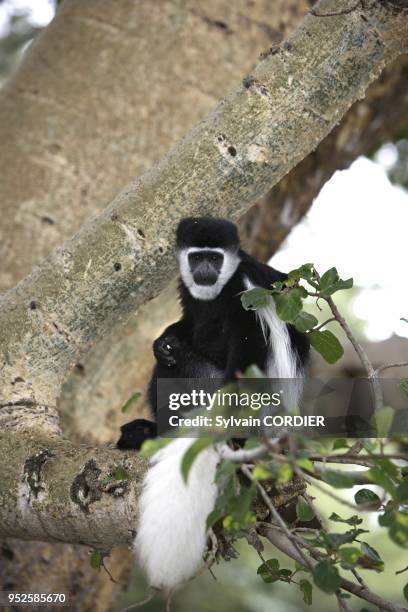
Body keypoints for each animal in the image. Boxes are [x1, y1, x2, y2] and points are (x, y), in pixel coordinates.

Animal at [118, 218, 310, 592]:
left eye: (215, 258)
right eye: (196, 257)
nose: (204, 270)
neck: (219, 289)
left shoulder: (245, 300)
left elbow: (244, 359)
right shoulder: (188, 291)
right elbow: (183, 327)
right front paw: (166, 337)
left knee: (186, 363)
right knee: (167, 364)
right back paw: (148, 431)